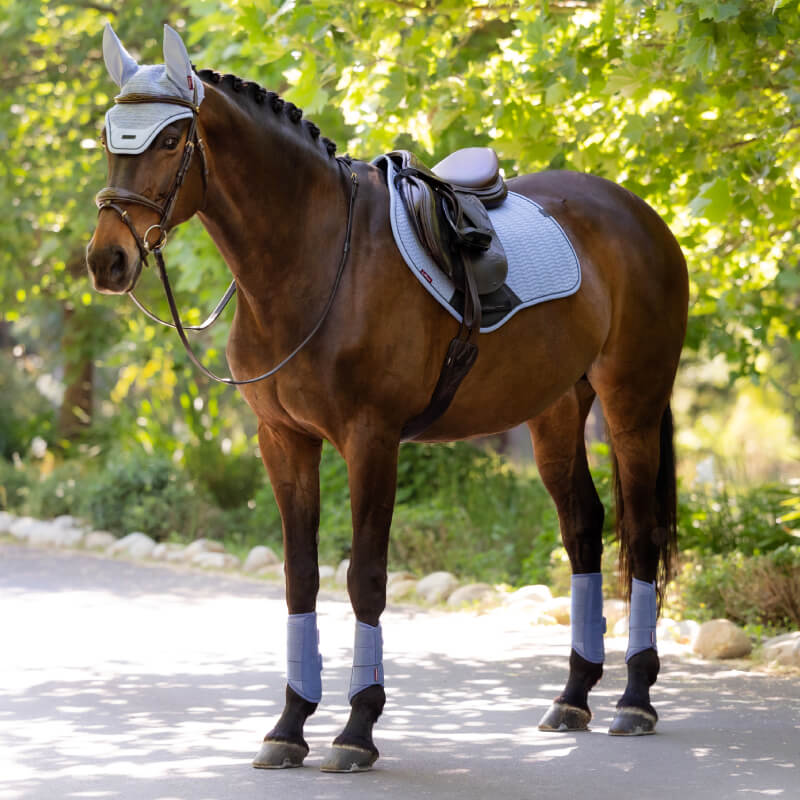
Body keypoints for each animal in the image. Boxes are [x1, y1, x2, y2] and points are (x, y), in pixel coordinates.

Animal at [87, 25, 688, 772]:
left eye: (171, 139)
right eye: (109, 136)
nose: (106, 260)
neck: (315, 260)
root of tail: (640, 216)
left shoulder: (370, 440)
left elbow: (365, 578)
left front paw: (356, 729)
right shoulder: (283, 441)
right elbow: (301, 578)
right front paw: (288, 726)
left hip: (633, 401)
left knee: (640, 534)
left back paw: (635, 698)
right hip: (554, 410)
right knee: (583, 527)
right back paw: (574, 696)